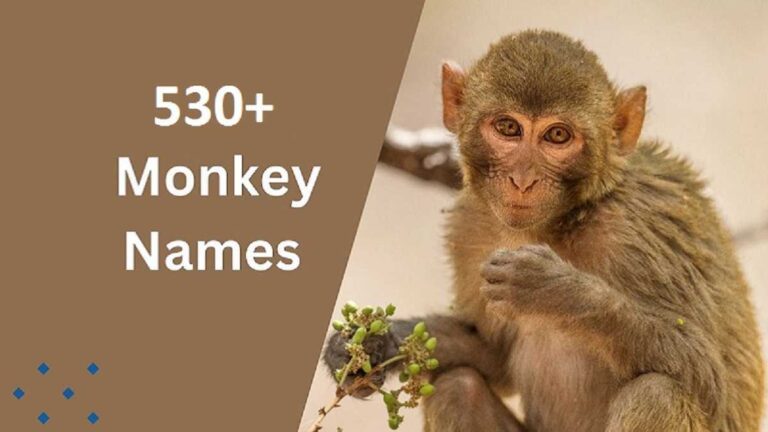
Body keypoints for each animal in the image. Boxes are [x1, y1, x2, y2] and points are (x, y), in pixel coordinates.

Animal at [324, 30, 764, 432]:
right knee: (458, 388)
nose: (522, 180)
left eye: (557, 135)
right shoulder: (468, 228)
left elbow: (709, 378)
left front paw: (556, 291)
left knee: (657, 393)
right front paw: (374, 343)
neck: (559, 222)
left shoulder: (638, 229)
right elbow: (494, 359)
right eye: (508, 128)